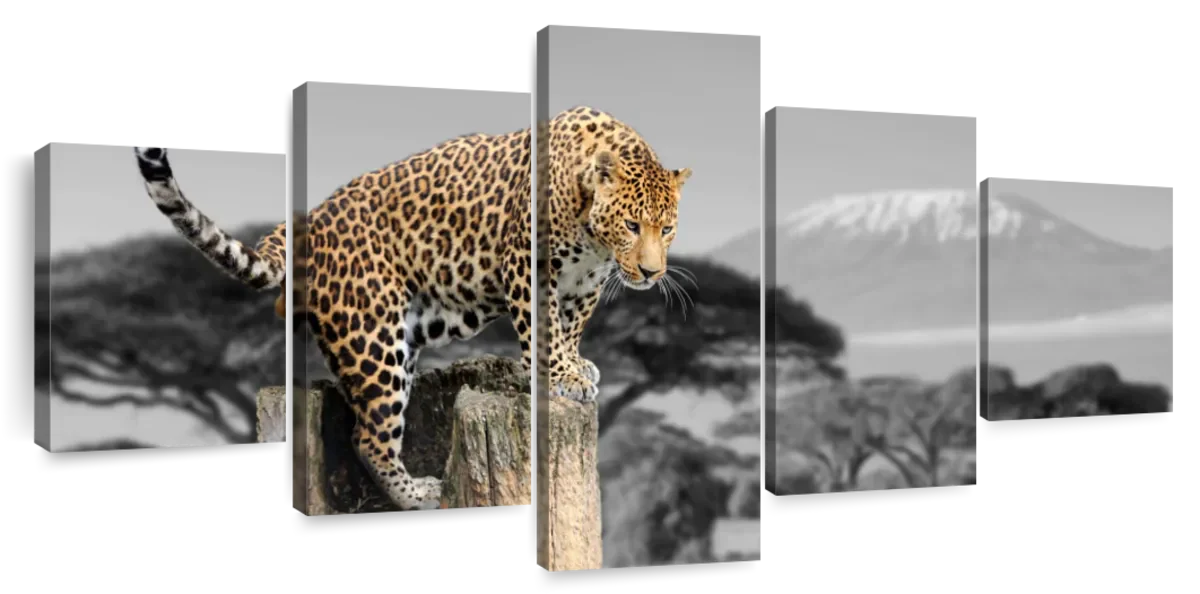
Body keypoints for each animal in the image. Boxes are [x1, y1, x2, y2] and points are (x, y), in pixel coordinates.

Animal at [545, 106, 692, 403]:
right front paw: (563, 375)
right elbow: (549, 325)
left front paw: (573, 362)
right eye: (631, 225)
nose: (650, 272)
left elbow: (574, 321)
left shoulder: (590, 277)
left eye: (667, 229)